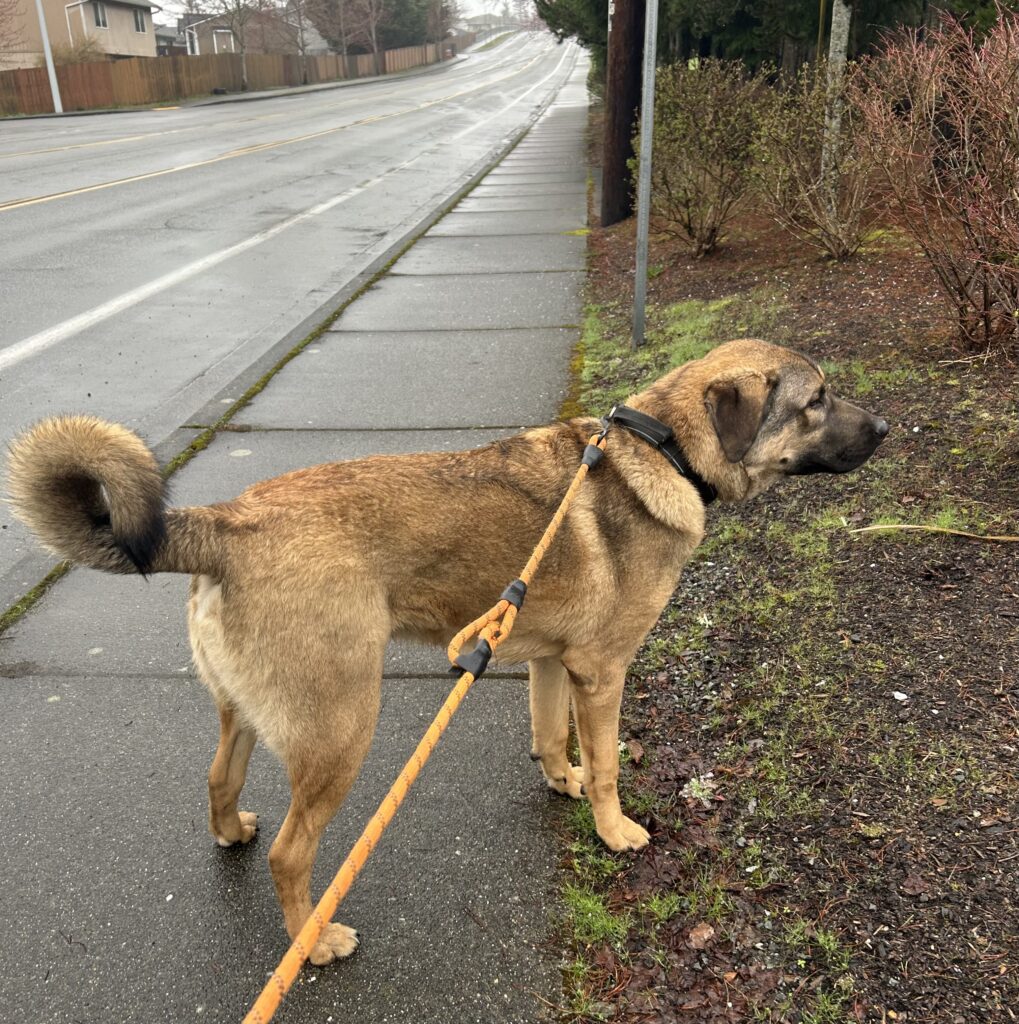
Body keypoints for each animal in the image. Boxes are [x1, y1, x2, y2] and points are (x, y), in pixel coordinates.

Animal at [6, 338, 888, 965]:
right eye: (816, 400)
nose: (884, 427)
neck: (663, 446)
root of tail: (226, 522)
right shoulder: (601, 672)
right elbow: (605, 763)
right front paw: (613, 830)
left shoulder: (547, 661)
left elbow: (550, 737)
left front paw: (560, 781)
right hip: (342, 731)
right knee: (292, 857)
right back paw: (312, 943)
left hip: (248, 715)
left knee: (219, 779)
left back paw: (231, 833)